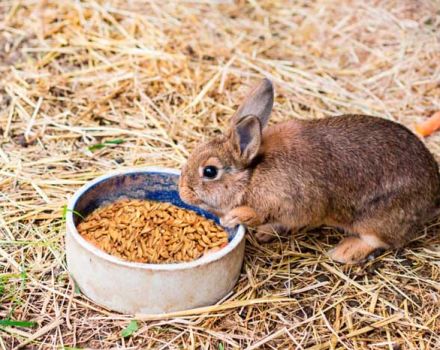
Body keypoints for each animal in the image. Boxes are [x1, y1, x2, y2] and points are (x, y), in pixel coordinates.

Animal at [179, 77, 440, 262]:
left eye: (210, 172)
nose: (182, 192)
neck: (253, 173)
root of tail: (433, 195)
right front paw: (263, 232)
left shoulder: (290, 202)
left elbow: (261, 213)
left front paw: (236, 217)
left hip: (376, 220)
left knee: (381, 241)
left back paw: (344, 252)